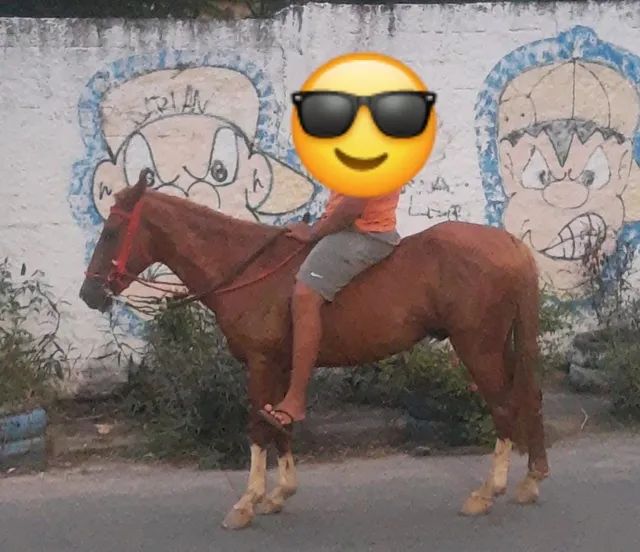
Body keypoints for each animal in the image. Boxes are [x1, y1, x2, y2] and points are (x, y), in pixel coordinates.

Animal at [80, 169, 552, 532]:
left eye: (113, 231)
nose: (89, 294)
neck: (246, 268)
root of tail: (509, 243)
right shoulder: (280, 364)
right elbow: (280, 427)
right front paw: (279, 493)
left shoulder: (260, 363)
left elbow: (258, 427)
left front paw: (247, 502)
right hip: (499, 345)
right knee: (528, 398)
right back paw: (531, 480)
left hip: (478, 347)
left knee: (504, 407)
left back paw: (488, 492)